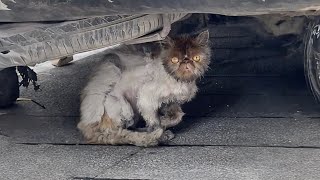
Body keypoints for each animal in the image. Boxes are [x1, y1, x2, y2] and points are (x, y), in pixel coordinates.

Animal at [77, 30, 211, 147]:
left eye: (196, 58)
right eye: (174, 60)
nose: (186, 62)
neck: (179, 80)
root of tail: (90, 129)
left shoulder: (169, 101)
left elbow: (177, 116)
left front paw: (164, 122)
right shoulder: (145, 97)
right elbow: (154, 122)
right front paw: (159, 129)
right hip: (111, 69)